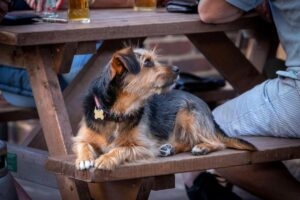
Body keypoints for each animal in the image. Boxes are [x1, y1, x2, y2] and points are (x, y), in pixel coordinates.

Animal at [72, 47, 255, 170]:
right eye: (147, 62)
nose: (177, 69)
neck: (117, 112)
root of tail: (209, 112)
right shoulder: (83, 137)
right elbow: (83, 144)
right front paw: (84, 159)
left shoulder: (145, 146)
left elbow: (121, 148)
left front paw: (106, 158)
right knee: (187, 141)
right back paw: (169, 149)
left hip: (187, 114)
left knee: (216, 142)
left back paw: (202, 147)